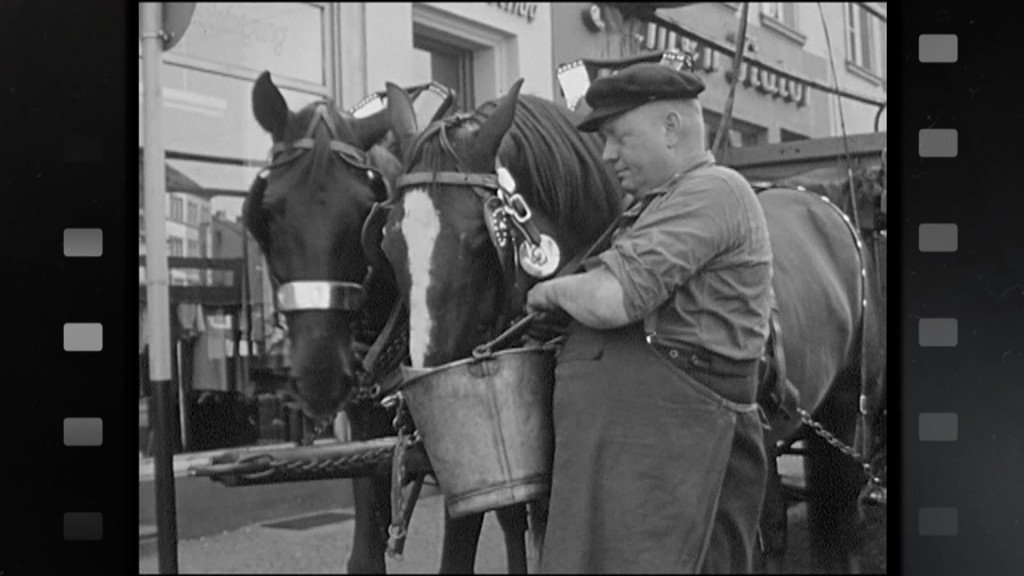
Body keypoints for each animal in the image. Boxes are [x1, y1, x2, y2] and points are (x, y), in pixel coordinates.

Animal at [380, 79, 884, 569]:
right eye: (388, 242)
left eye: (478, 238)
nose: (420, 436)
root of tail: (820, 200)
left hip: (845, 410)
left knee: (837, 520)